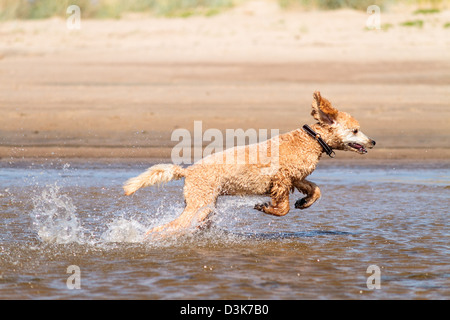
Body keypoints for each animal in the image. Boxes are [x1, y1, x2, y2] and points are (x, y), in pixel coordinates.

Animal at [123, 92, 376, 238]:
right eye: (355, 130)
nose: (373, 141)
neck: (312, 140)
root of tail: (189, 170)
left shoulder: (296, 178)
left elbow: (316, 189)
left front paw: (304, 202)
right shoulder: (281, 180)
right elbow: (283, 208)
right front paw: (266, 208)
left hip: (204, 208)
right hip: (199, 204)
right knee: (168, 226)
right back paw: (150, 236)